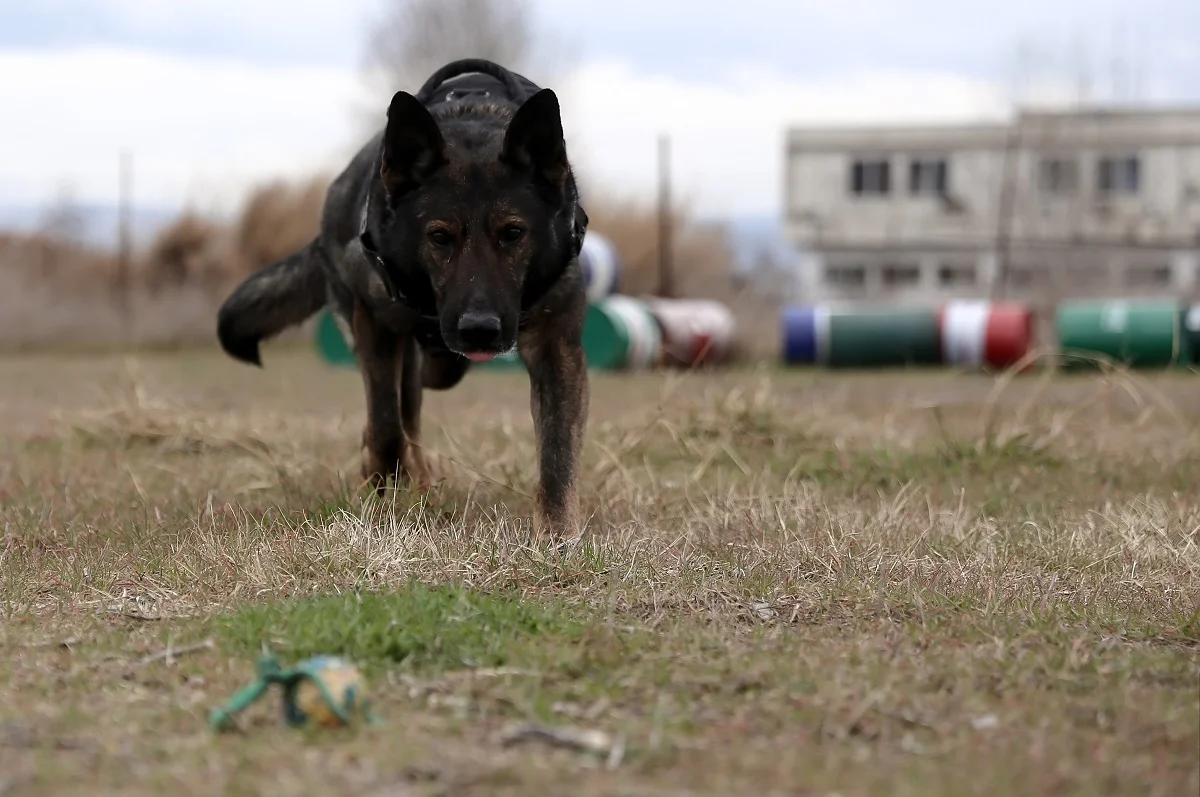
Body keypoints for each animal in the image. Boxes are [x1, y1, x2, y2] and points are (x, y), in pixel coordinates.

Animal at [218, 57, 592, 542]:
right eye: (439, 236)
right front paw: (382, 497)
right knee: (399, 416)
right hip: (396, 347)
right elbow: (385, 426)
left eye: (513, 233)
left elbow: (558, 453)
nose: (479, 330)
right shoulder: (376, 324)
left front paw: (558, 537)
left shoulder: (555, 346)